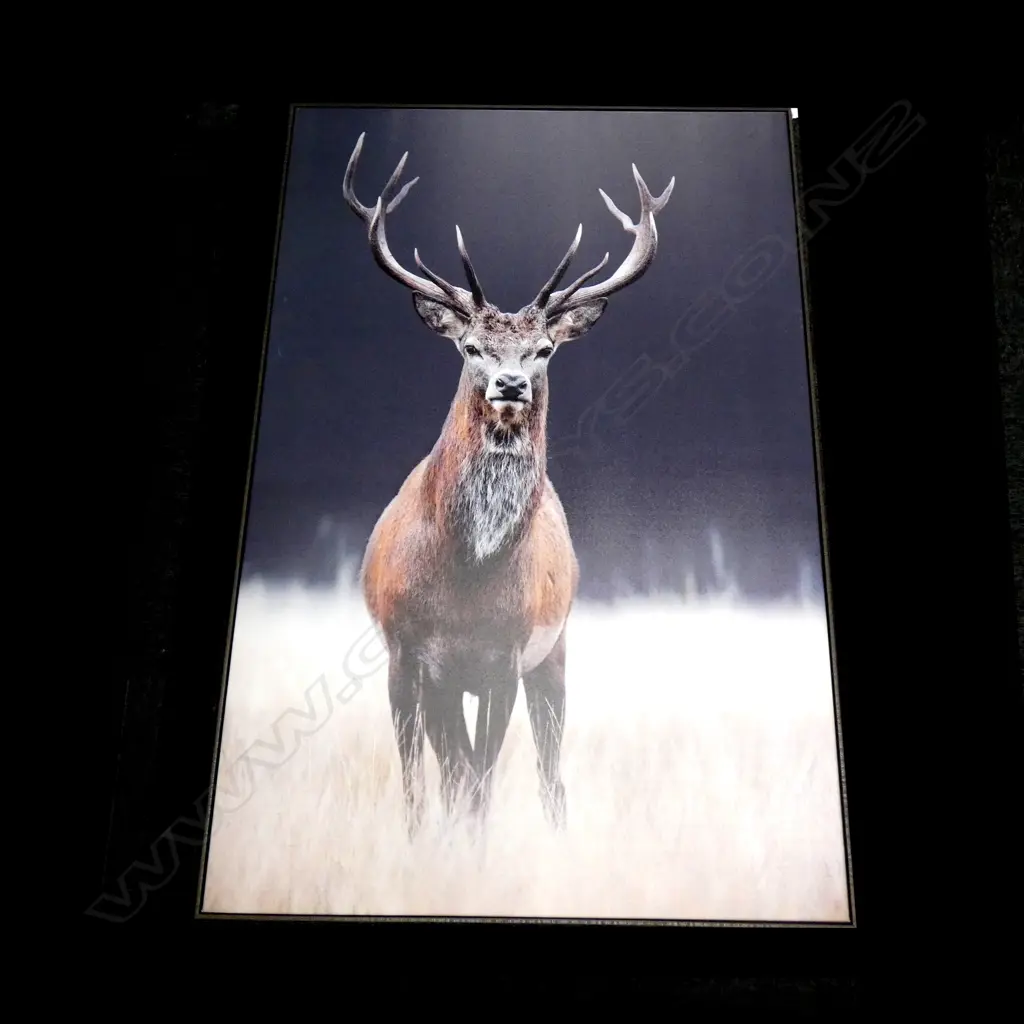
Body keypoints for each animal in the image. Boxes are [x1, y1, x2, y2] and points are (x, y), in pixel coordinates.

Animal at [343, 132, 673, 837]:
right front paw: (424, 846)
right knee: (450, 768)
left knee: (547, 773)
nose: (511, 383)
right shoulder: (408, 656)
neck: (466, 580)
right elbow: (426, 783)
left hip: (555, 652)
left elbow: (482, 781)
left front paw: (473, 847)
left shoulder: (504, 657)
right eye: (470, 346)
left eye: (544, 349)